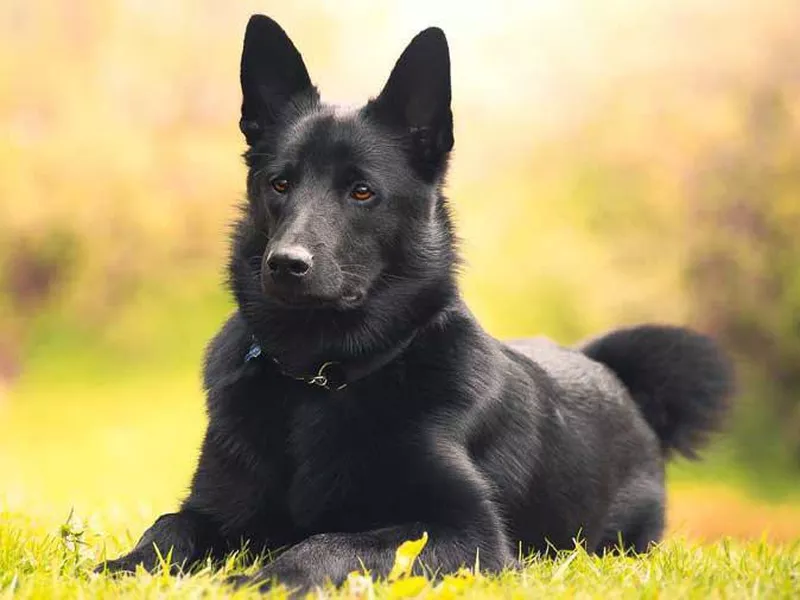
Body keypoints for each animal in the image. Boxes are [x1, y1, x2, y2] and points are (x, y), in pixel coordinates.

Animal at [98, 15, 732, 596]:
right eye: (279, 184)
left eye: (362, 192)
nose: (284, 264)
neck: (319, 379)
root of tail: (609, 370)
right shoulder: (215, 507)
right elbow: (168, 527)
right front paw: (121, 568)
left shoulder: (468, 534)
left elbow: (333, 542)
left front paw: (261, 578)